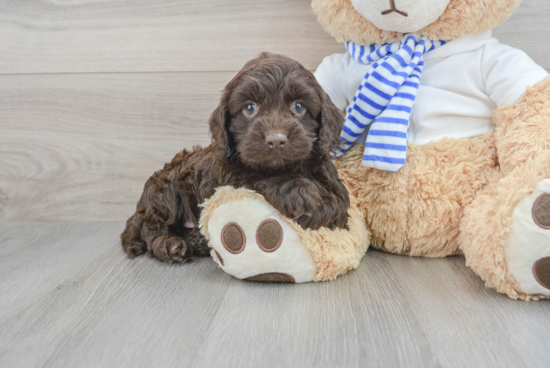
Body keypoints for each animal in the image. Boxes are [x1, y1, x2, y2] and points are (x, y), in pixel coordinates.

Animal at [123, 53, 352, 264]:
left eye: (298, 107)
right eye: (250, 108)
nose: (276, 140)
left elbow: (339, 201)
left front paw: (316, 207)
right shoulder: (224, 175)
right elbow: (251, 174)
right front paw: (297, 191)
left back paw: (196, 240)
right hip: (163, 190)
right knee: (150, 227)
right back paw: (170, 245)